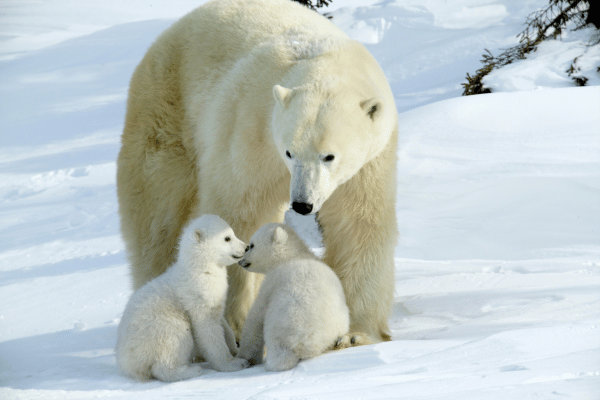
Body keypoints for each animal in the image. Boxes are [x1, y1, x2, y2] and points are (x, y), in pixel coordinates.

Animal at [116, 0, 398, 344]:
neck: (325, 60)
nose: (302, 204)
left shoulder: (370, 161)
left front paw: (356, 332)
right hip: (166, 111)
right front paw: (235, 323)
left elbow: (357, 224)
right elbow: (239, 211)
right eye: (289, 151)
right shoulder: (252, 129)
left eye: (329, 156)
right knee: (158, 215)